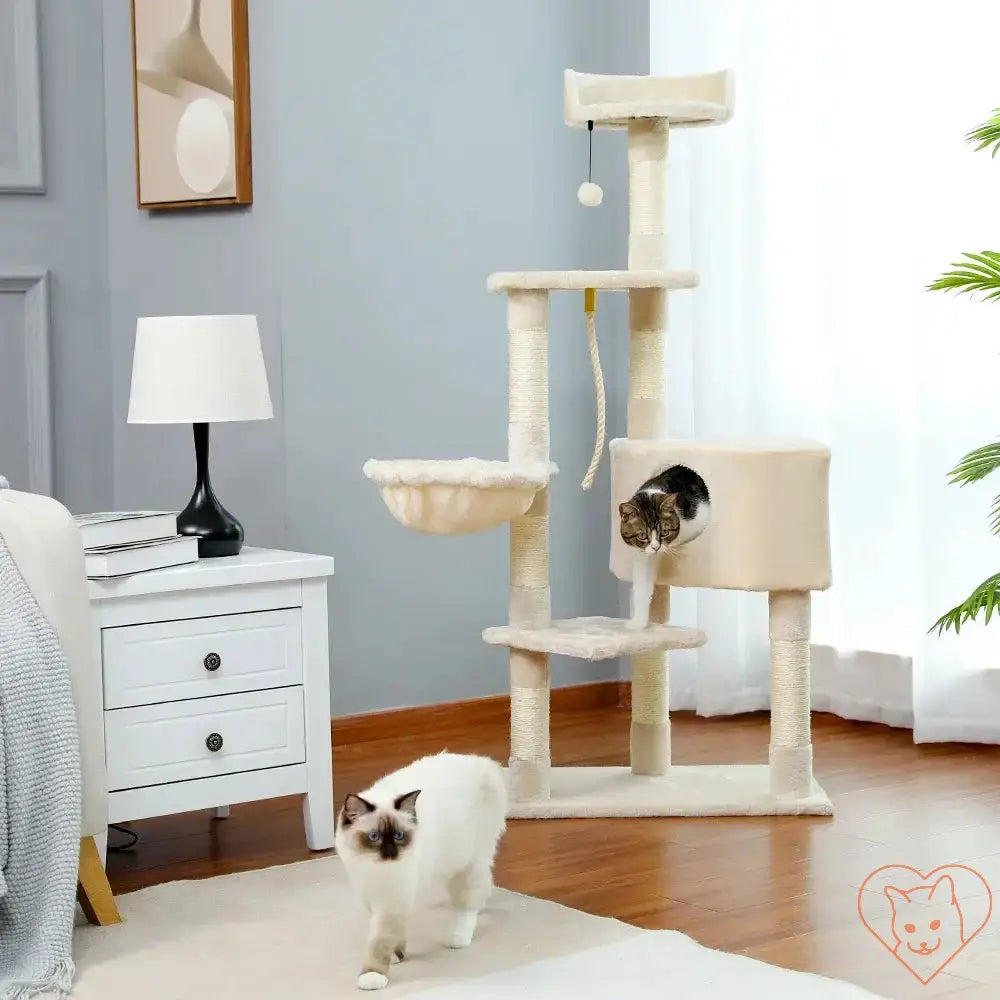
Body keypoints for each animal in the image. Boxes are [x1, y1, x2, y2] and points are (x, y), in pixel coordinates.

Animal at [336, 752, 508, 992]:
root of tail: (484, 762)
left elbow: (379, 941)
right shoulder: (371, 897)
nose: (391, 854)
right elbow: (395, 932)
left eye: (399, 836)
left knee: (469, 904)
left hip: (469, 862)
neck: (377, 871)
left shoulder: (392, 901)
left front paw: (373, 976)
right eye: (374, 837)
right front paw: (397, 954)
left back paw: (458, 938)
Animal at [616, 464, 712, 628]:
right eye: (642, 536)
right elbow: (641, 585)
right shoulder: (642, 555)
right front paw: (638, 622)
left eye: (665, 532)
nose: (656, 547)